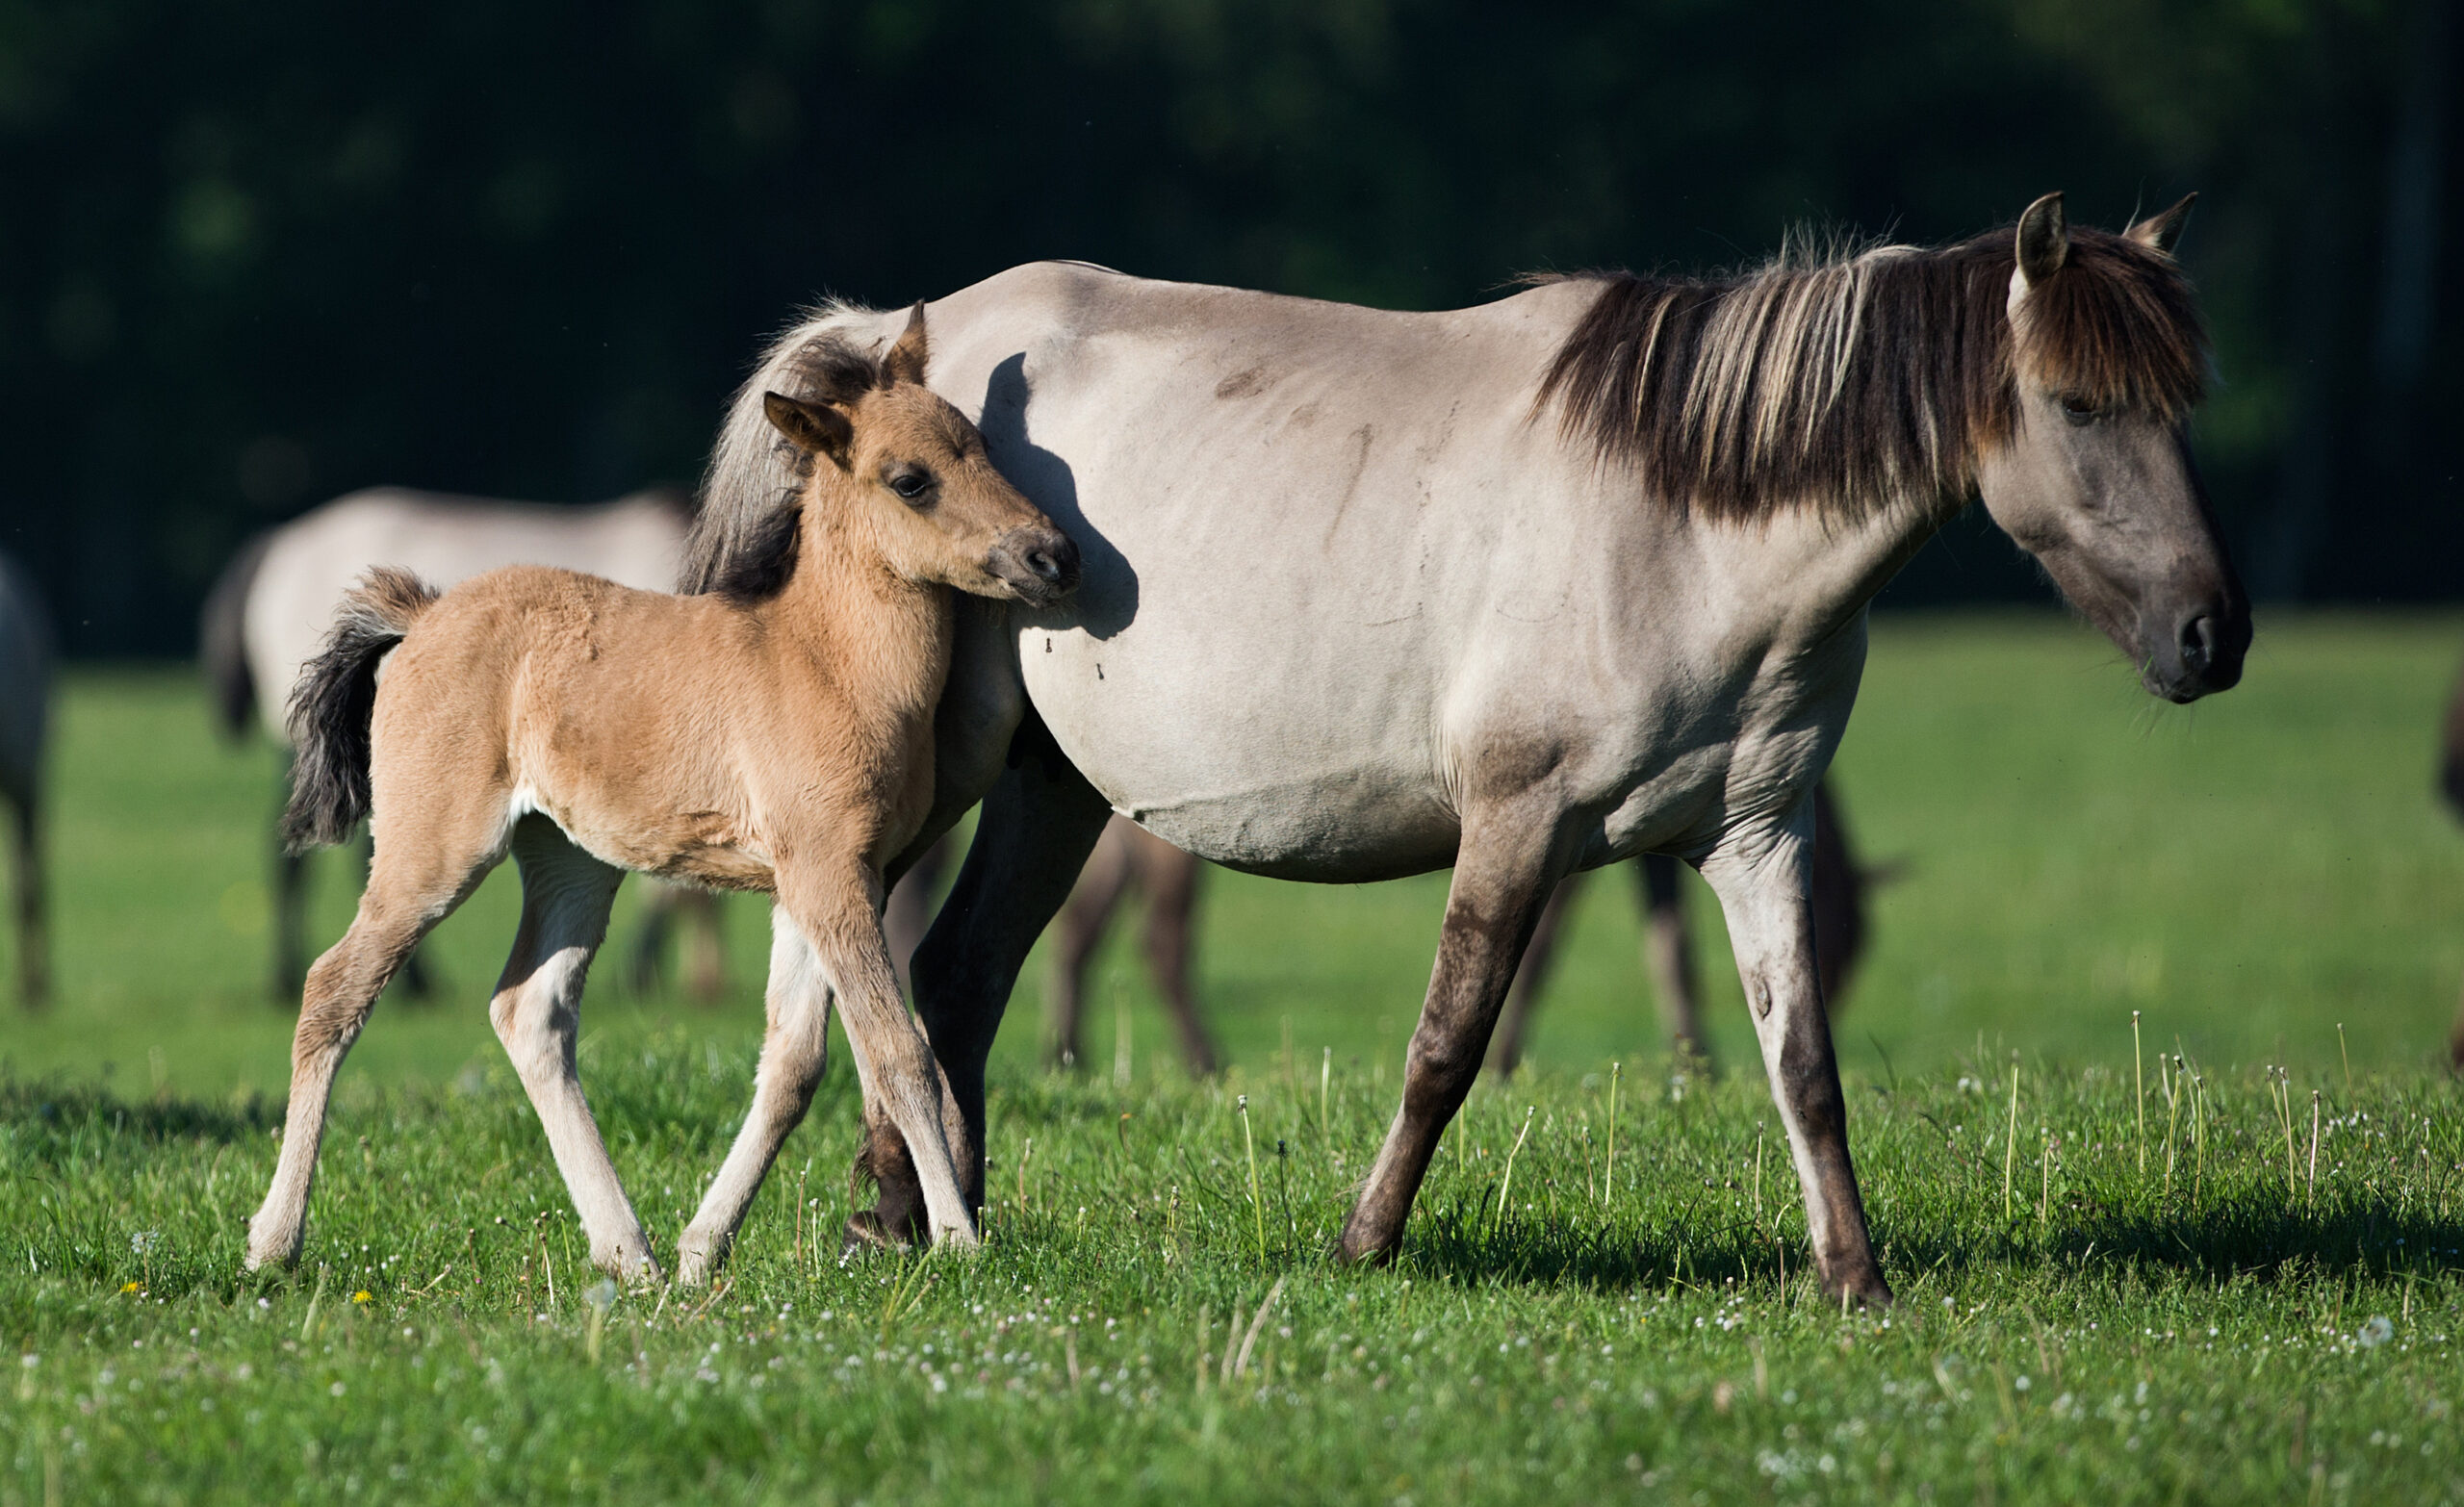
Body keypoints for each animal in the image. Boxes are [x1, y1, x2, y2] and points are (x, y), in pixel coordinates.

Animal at [684, 194, 2246, 1300]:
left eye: (2185, 403)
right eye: (2080, 404)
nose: (2210, 636)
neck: (1681, 523)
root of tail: (897, 346)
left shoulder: (1755, 833)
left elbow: (1802, 1062)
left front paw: (1854, 1280)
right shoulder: (1516, 822)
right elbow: (1448, 1042)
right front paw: (1361, 1246)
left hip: (1052, 789)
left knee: (958, 979)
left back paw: (910, 1220)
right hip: (946, 774)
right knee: (892, 973)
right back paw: (892, 1218)